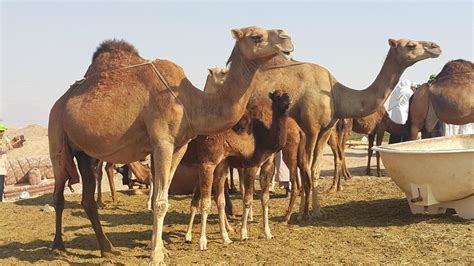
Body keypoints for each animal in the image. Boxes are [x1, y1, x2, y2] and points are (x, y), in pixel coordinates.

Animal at [183, 90, 290, 249]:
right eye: (277, 96)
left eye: (286, 94)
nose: (288, 100)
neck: (263, 138)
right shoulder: (251, 164)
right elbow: (247, 199)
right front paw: (243, 233)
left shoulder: (268, 165)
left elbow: (265, 199)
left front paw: (268, 233)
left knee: (205, 198)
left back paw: (196, 235)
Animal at [243, 38, 442, 215]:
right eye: (411, 45)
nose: (436, 47)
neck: (336, 95)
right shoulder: (311, 127)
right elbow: (305, 166)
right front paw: (302, 213)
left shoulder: (326, 129)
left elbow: (314, 169)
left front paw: (317, 211)